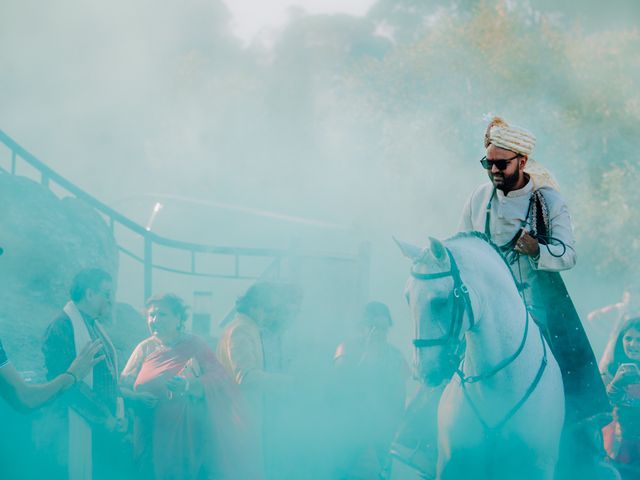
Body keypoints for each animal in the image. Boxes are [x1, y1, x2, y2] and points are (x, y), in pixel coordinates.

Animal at [400, 232, 564, 476]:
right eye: (408, 298)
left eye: (441, 301)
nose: (423, 372)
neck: (499, 386)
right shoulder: (450, 463)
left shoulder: (538, 467)